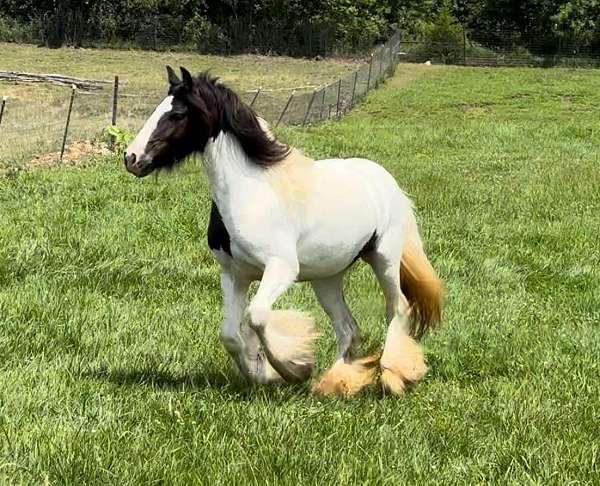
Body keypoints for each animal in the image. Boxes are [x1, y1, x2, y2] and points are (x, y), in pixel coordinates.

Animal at [124, 67, 442, 394]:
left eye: (177, 114)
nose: (131, 158)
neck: (251, 191)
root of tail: (386, 180)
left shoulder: (281, 267)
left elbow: (256, 316)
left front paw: (293, 368)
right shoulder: (234, 274)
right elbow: (230, 334)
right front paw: (261, 373)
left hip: (384, 258)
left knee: (398, 308)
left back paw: (394, 377)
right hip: (327, 278)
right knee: (349, 329)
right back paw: (334, 384)